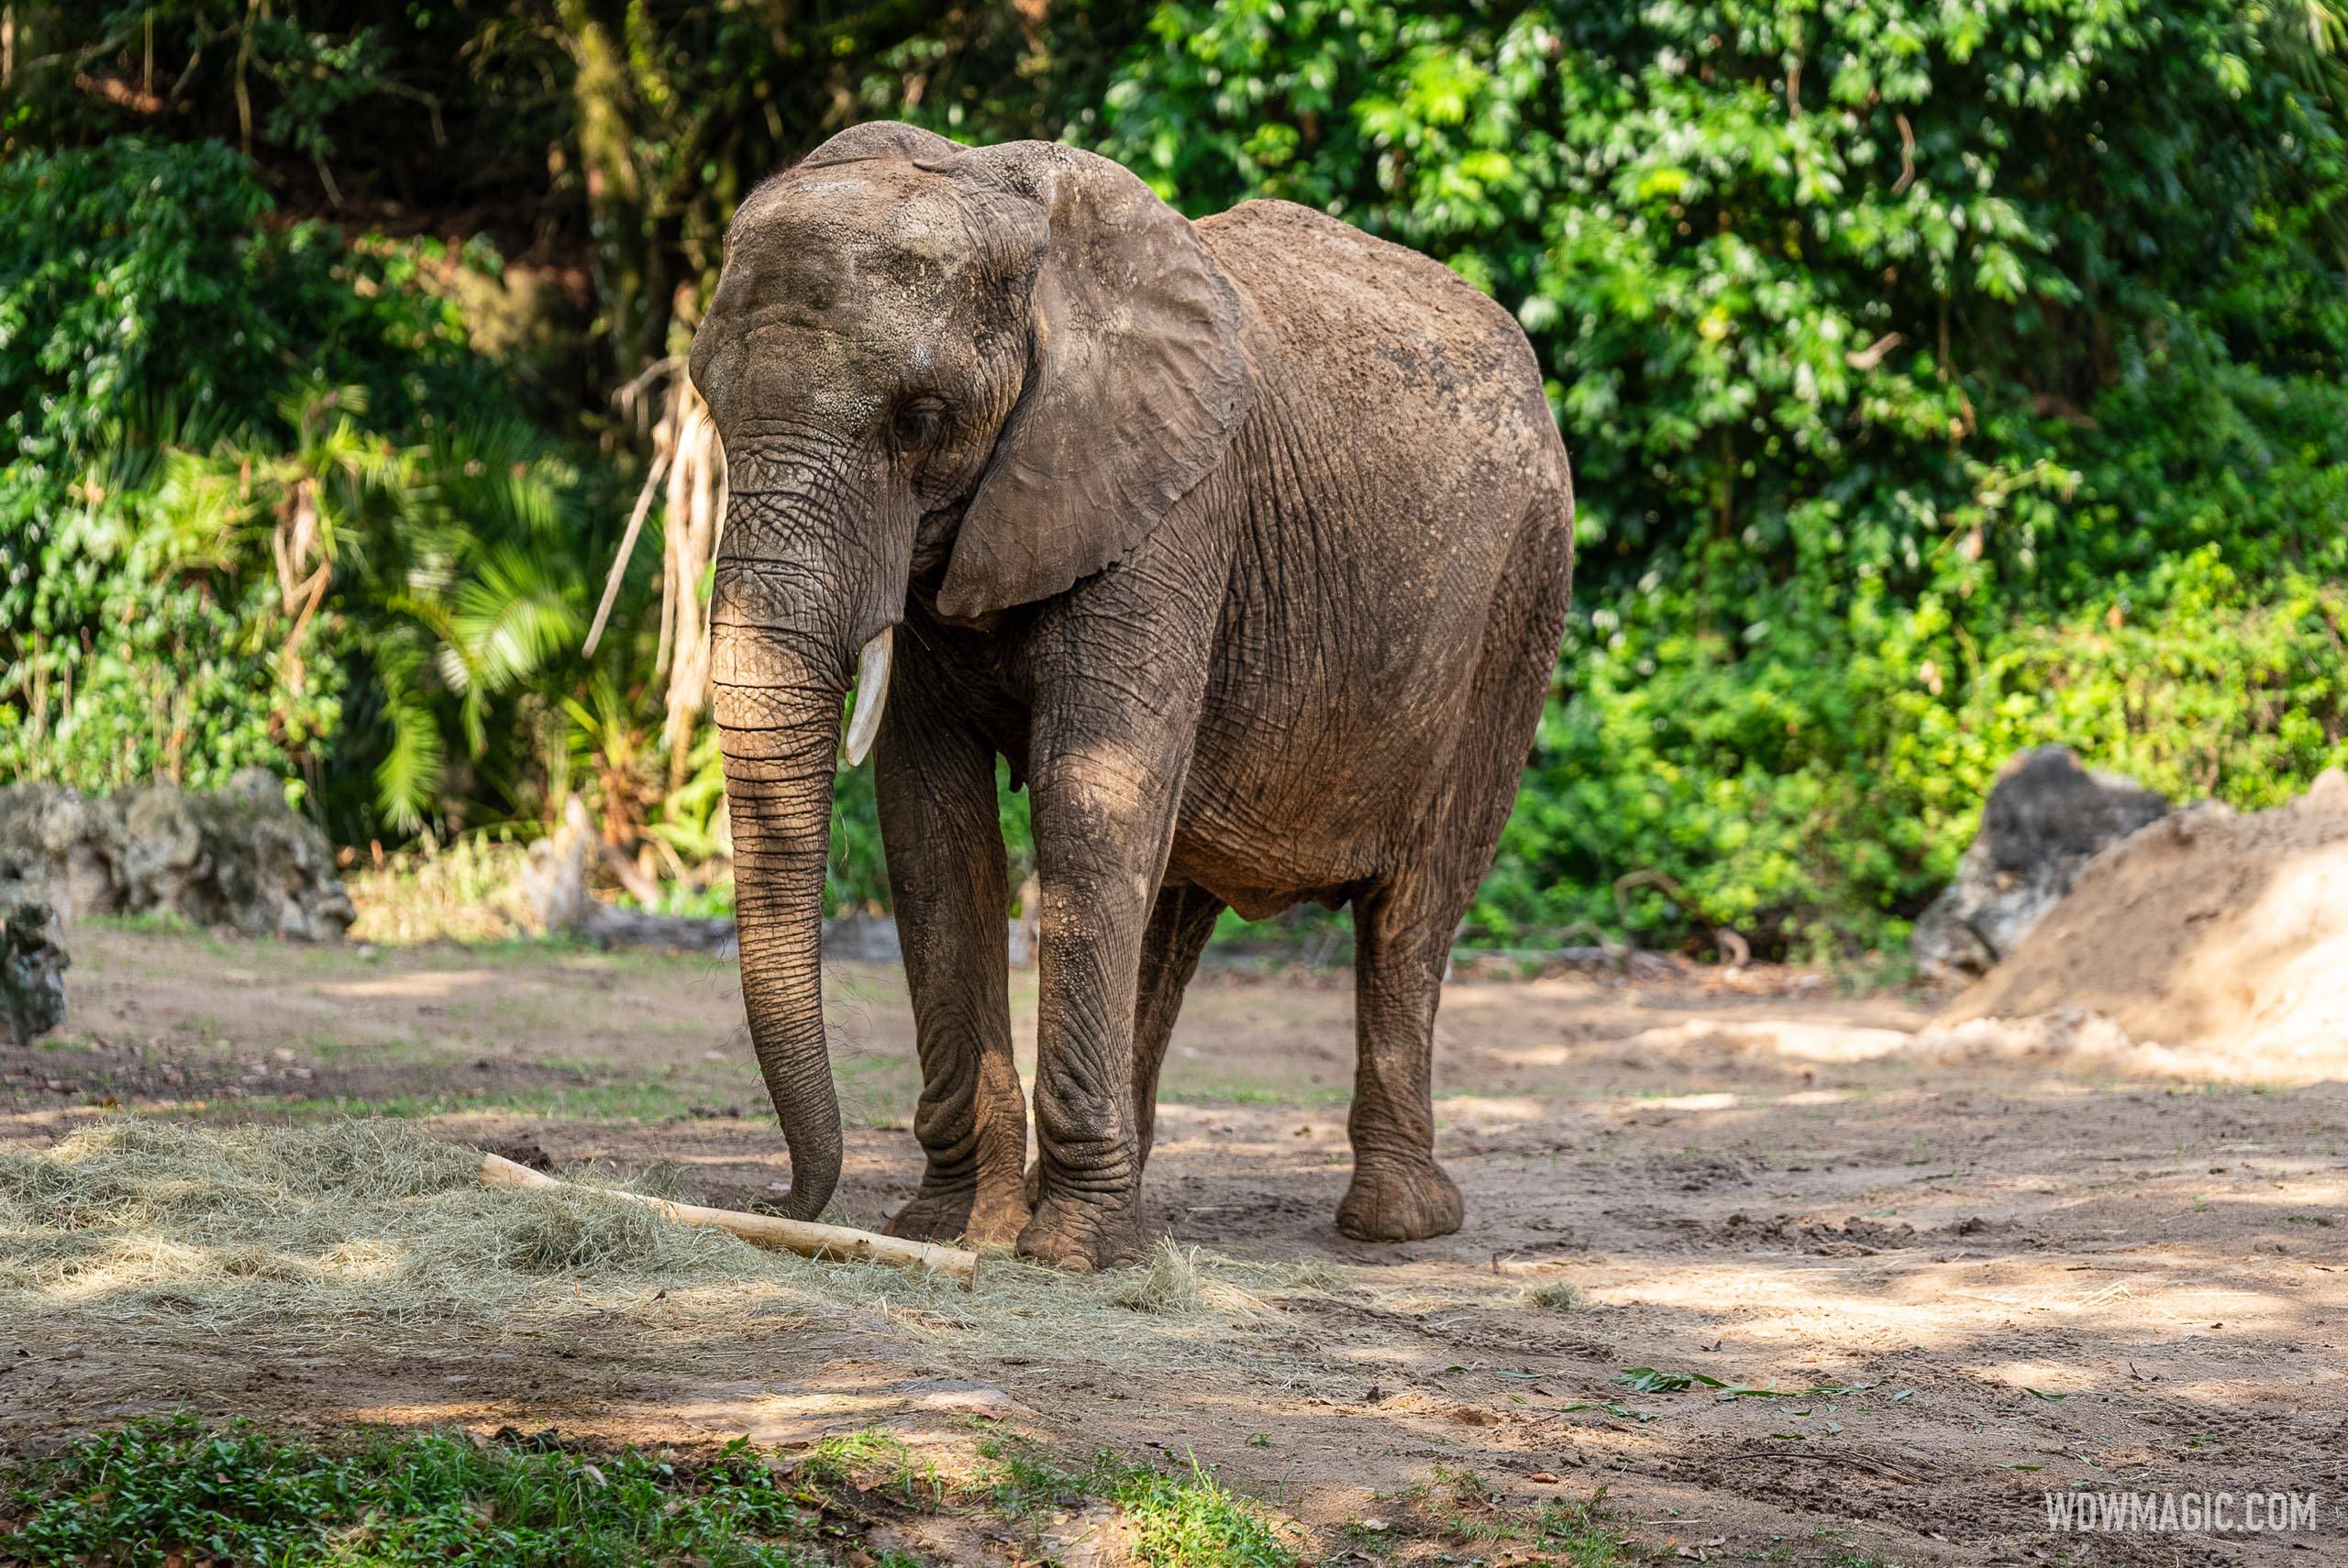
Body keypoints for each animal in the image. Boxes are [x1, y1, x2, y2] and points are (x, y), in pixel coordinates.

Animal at [694, 122, 1578, 1276]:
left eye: (921, 418)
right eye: (708, 404)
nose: (785, 1203)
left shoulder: (1177, 505)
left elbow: (1087, 802)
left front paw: (1065, 1254)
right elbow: (935, 833)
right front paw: (955, 1228)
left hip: (1520, 598)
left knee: (1415, 905)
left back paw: (1394, 1224)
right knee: (1175, 901)